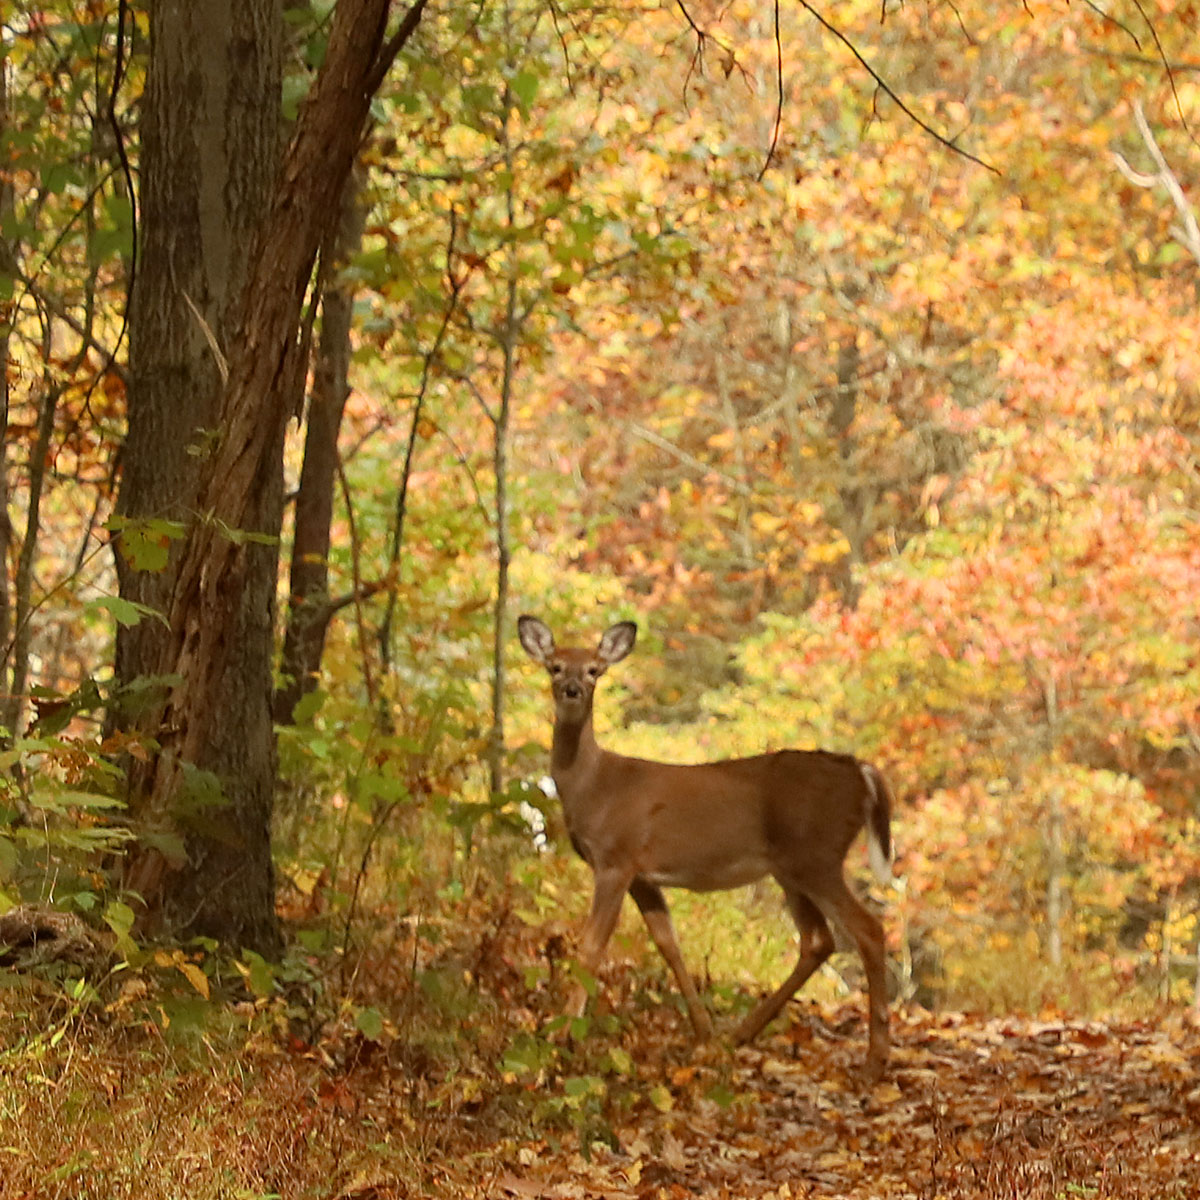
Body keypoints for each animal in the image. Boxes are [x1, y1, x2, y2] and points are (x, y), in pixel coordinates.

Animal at [516, 619, 892, 1080]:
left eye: (593, 670)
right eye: (554, 666)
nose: (571, 689)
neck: (593, 786)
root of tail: (861, 771)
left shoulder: (615, 859)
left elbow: (589, 948)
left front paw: (560, 1033)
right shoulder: (642, 875)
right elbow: (669, 945)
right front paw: (702, 1031)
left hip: (816, 855)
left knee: (868, 930)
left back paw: (875, 1059)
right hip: (790, 867)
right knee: (818, 940)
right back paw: (741, 1033)